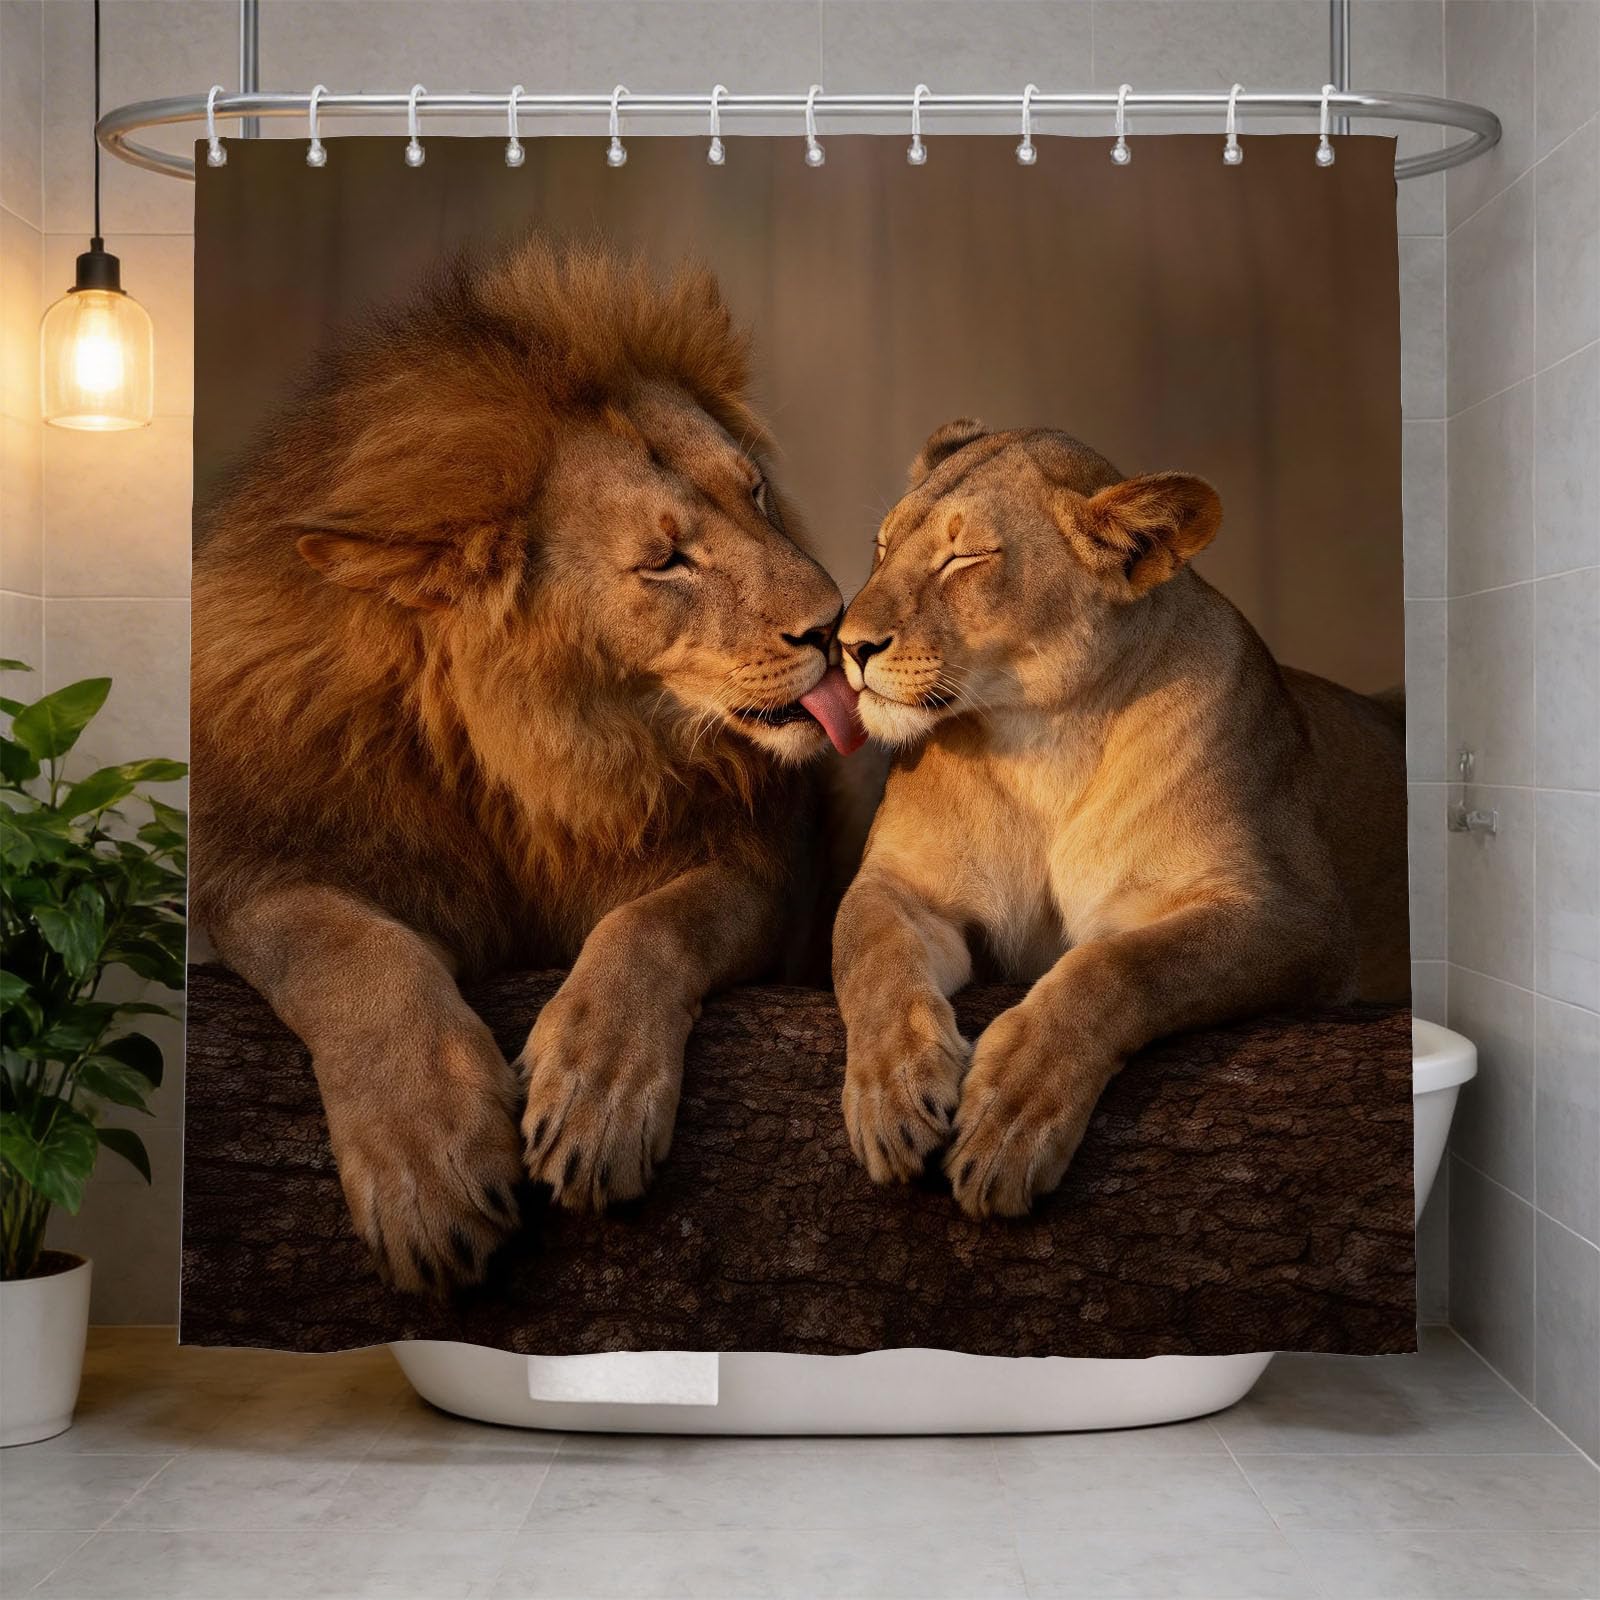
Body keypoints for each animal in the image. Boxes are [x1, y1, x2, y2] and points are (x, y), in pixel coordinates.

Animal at [190, 240, 864, 1292]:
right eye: (667, 561)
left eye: (753, 494)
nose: (836, 626)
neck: (547, 754)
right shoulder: (249, 866)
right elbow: (344, 946)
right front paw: (428, 1161)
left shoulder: (768, 873)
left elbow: (659, 921)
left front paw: (597, 1095)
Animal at [831, 420, 1409, 1219]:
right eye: (884, 547)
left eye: (965, 557)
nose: (848, 646)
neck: (1044, 738)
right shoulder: (904, 886)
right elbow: (869, 954)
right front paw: (892, 1095)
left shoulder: (1297, 916)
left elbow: (1117, 967)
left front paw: (1011, 1116)